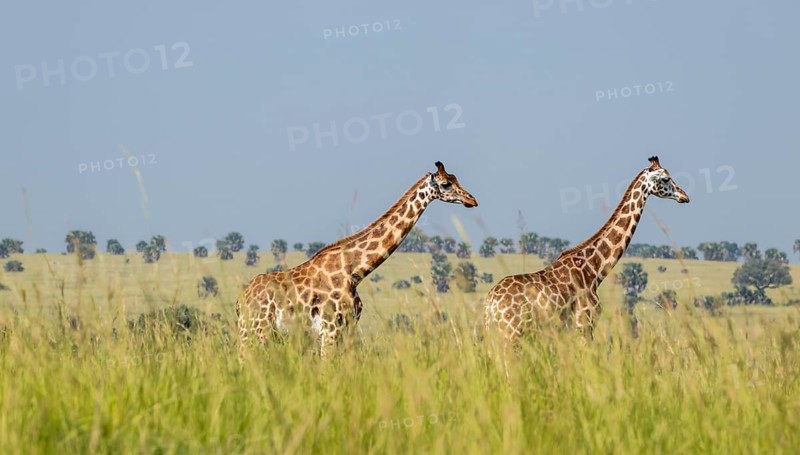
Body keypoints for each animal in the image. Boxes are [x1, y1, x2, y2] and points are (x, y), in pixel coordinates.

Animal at [237, 161, 478, 357]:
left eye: (456, 179)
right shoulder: (330, 327)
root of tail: (240, 300)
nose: (472, 200)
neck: (355, 271)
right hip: (256, 330)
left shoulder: (348, 327)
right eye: (446, 184)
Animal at [484, 156, 689, 342]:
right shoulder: (585, 323)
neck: (594, 270)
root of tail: (490, 304)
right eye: (666, 179)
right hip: (512, 332)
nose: (685, 196)